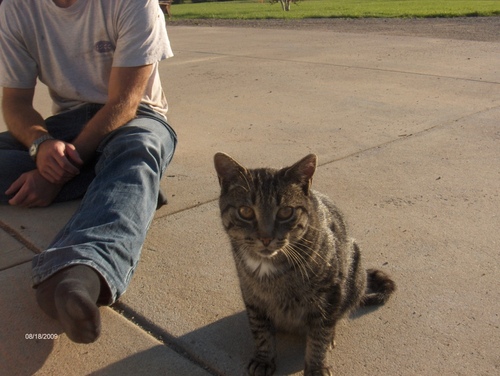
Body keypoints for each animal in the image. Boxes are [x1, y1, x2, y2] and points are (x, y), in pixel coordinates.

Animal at [213, 151, 396, 374]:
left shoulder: (329, 294)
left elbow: (319, 335)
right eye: (245, 211)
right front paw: (264, 358)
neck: (270, 265)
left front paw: (317, 367)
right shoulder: (251, 294)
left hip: (355, 271)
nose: (265, 238)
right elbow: (260, 329)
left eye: (285, 212)